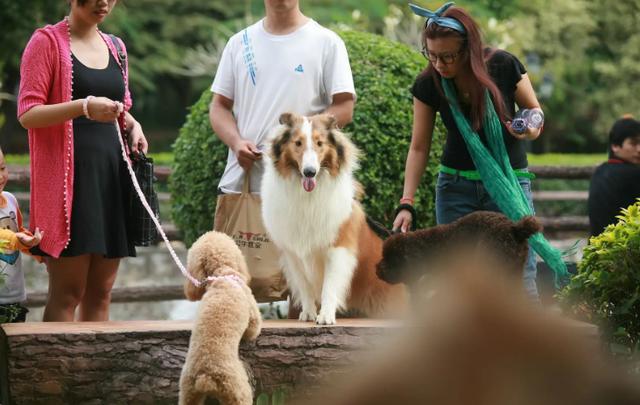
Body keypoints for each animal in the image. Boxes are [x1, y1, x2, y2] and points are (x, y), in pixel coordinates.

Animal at [260, 111, 404, 326]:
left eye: (319, 143)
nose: (309, 172)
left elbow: (329, 286)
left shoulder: (338, 249)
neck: (308, 196)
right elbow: (304, 286)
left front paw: (326, 316)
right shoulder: (293, 253)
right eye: (298, 143)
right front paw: (309, 313)